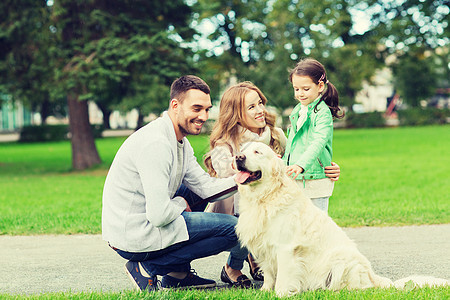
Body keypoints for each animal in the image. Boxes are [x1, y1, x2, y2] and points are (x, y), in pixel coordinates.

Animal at [236, 142, 446, 296]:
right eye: (242, 150)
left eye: (257, 152)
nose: (238, 157)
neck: (264, 197)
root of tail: (375, 276)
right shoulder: (264, 246)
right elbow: (269, 274)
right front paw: (265, 291)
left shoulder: (285, 248)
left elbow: (283, 277)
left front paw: (280, 294)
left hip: (341, 260)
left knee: (358, 287)